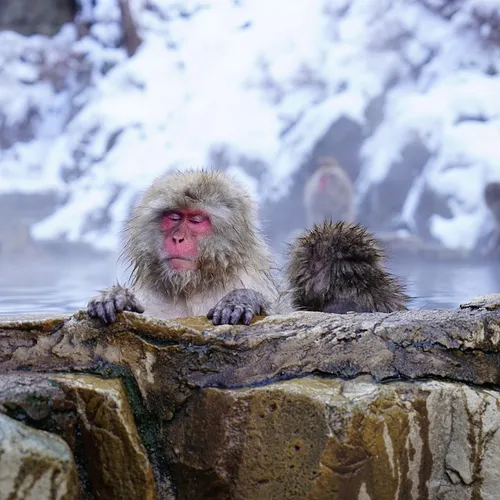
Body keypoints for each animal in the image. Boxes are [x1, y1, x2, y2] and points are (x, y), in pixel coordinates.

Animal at [88, 170, 280, 326]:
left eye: (196, 220)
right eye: (174, 216)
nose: (178, 238)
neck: (191, 286)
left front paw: (241, 300)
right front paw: (117, 296)